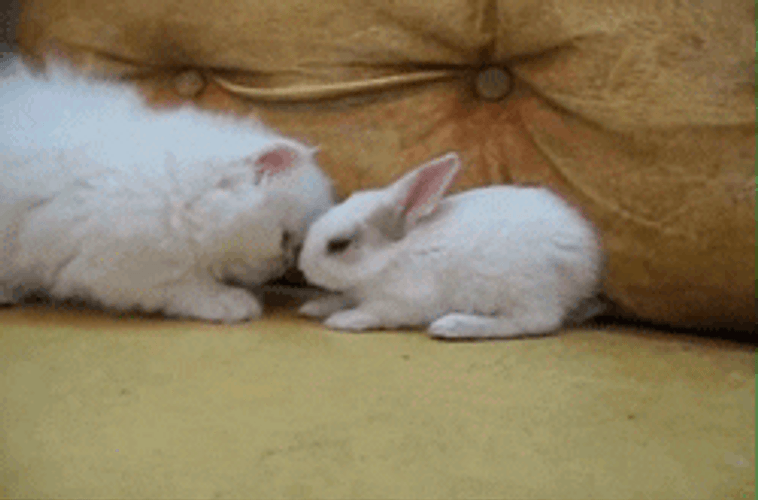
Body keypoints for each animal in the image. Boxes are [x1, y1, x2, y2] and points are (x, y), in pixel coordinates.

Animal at [0, 56, 334, 322]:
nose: (284, 266)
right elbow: (183, 286)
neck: (179, 194)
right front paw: (229, 302)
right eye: (285, 238)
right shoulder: (120, 265)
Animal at [297, 152, 604, 339]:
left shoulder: (406, 300)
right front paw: (313, 307)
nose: (303, 267)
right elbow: (342, 297)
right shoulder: (355, 291)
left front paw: (343, 320)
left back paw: (453, 325)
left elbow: (375, 311)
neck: (390, 258)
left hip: (526, 288)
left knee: (536, 322)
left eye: (339, 244)